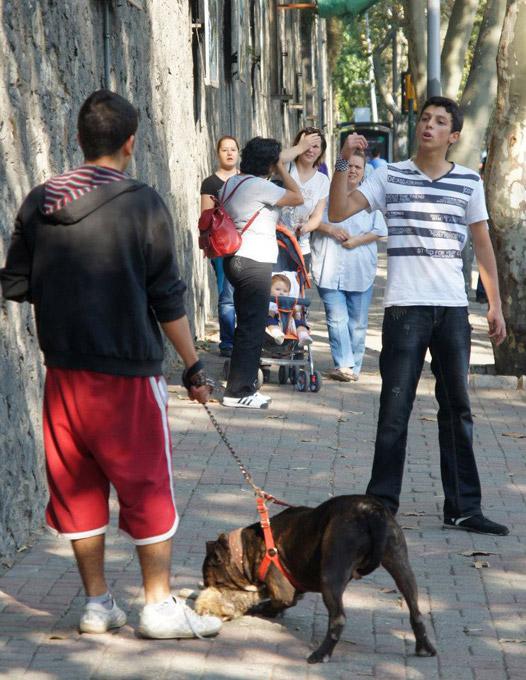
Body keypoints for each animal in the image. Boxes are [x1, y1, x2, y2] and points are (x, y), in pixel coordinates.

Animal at [198, 496, 438, 660]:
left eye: (213, 582)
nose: (207, 588)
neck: (246, 549)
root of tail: (370, 511)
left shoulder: (283, 592)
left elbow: (271, 601)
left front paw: (254, 608)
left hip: (331, 575)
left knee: (338, 618)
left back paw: (321, 654)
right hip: (399, 561)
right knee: (415, 609)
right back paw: (424, 647)